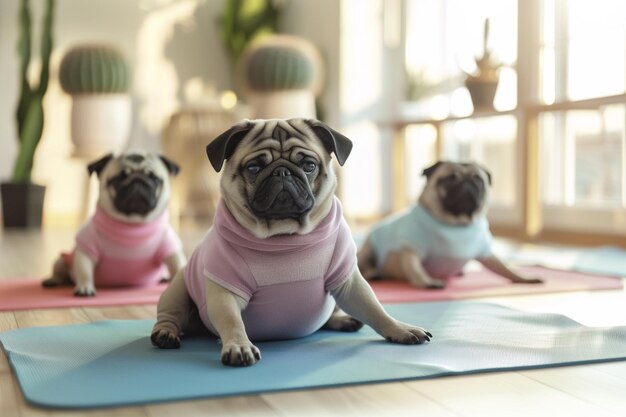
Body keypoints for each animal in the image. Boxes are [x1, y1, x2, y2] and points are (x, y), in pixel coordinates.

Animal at [42, 150, 185, 296]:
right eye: (119, 179)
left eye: (154, 179)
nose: (137, 181)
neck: (132, 225)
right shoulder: (86, 250)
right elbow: (84, 271)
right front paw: (85, 287)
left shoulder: (171, 250)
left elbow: (178, 266)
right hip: (61, 260)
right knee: (59, 272)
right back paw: (52, 280)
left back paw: (164, 277)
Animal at [151, 117, 432, 364]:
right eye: (253, 168)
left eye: (309, 165)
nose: (283, 172)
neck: (284, 236)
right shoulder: (225, 292)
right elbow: (232, 321)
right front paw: (239, 345)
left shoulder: (350, 282)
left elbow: (374, 308)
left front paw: (399, 329)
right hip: (177, 289)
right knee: (170, 314)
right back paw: (165, 333)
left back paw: (343, 320)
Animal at [356, 161, 540, 288]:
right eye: (450, 179)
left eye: (478, 180)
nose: (466, 183)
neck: (456, 224)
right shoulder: (412, 250)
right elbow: (416, 268)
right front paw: (427, 281)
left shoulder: (487, 254)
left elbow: (505, 268)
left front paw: (524, 278)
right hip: (368, 250)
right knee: (364, 266)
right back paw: (374, 274)